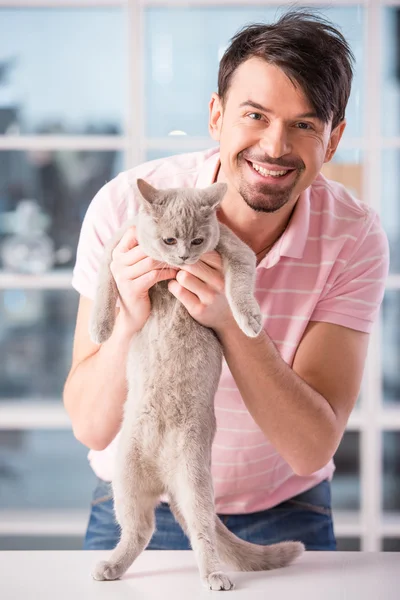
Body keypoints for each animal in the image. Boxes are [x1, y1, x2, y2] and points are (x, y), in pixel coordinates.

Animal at [89, 178, 304, 592]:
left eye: (198, 240)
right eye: (170, 240)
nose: (185, 257)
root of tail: (165, 480)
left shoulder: (237, 253)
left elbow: (239, 288)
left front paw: (249, 321)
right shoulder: (115, 250)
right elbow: (105, 288)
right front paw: (101, 329)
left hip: (195, 481)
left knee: (199, 534)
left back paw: (215, 576)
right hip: (125, 479)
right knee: (140, 530)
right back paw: (111, 566)